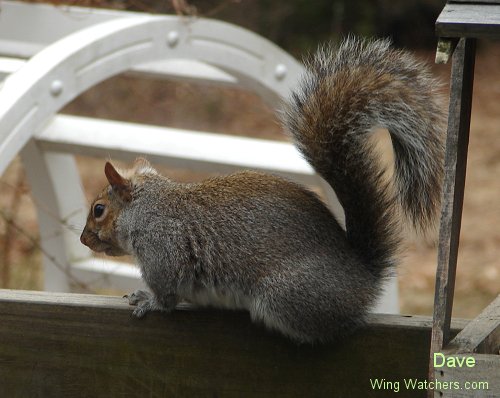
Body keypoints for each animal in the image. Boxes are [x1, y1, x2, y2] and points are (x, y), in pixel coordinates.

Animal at [80, 35, 444, 344]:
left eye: (99, 210)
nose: (83, 239)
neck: (145, 207)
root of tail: (364, 278)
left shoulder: (162, 248)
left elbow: (166, 295)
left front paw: (147, 300)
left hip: (284, 295)